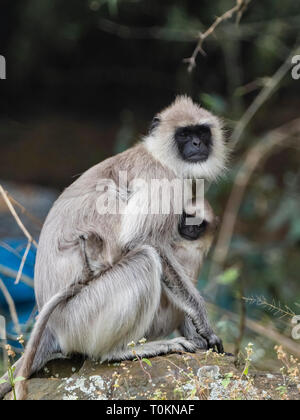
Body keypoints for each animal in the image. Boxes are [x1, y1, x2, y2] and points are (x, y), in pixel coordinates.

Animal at [0, 95, 227, 400]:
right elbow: (140, 240)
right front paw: (203, 324)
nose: (197, 144)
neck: (156, 155)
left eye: (202, 132)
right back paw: (121, 352)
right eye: (184, 134)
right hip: (81, 318)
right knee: (146, 260)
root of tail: (52, 330)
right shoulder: (165, 181)